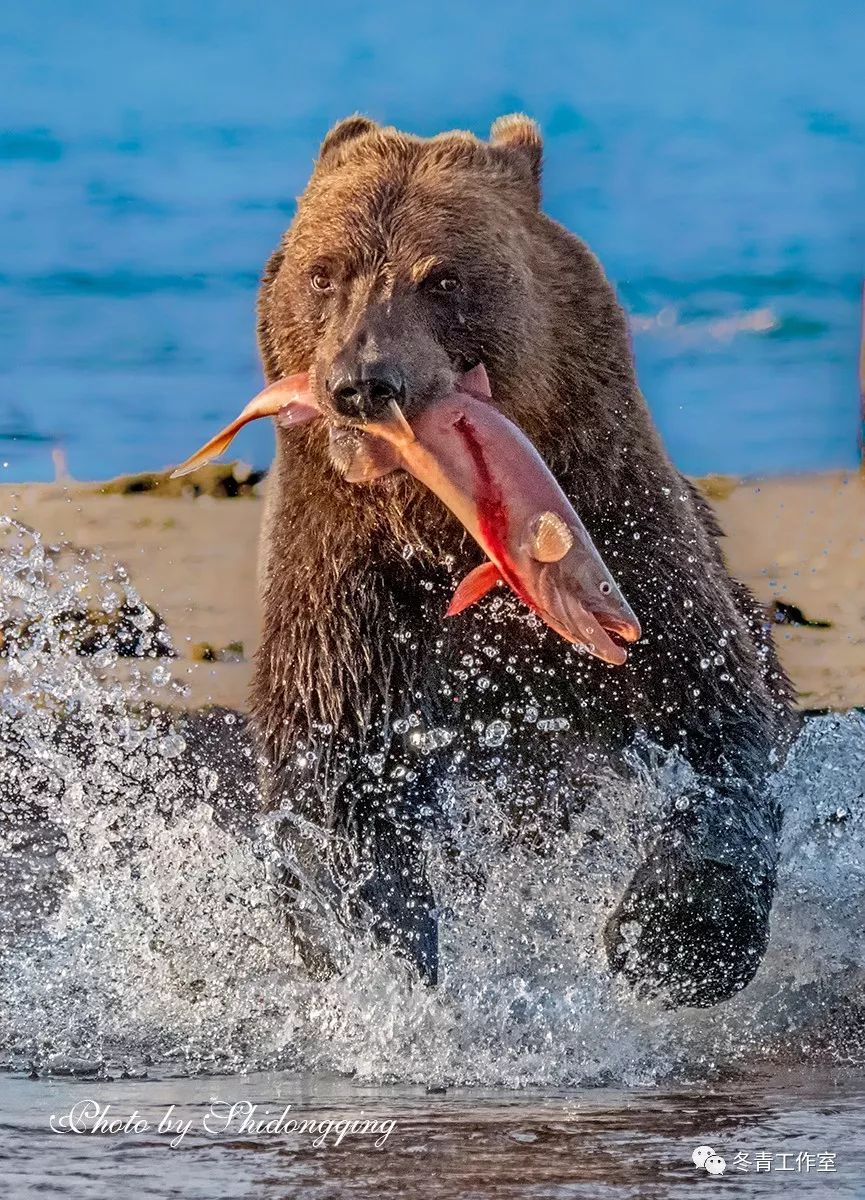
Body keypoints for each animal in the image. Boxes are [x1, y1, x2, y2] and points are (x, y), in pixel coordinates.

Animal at [249, 117, 796, 1008]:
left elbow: (709, 724)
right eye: (324, 272)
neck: (442, 522)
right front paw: (378, 957)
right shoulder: (345, 580)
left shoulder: (622, 537)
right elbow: (333, 774)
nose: (363, 382)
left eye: (442, 278)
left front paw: (666, 942)